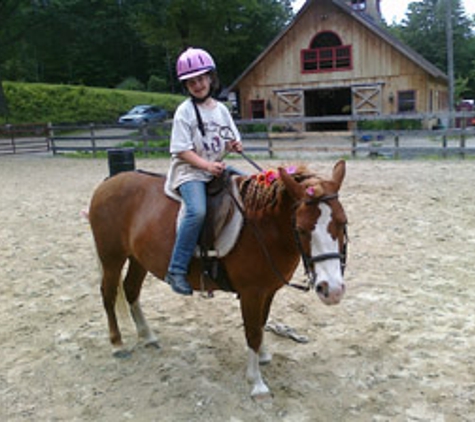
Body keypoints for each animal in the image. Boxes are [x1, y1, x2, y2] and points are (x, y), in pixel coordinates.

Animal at [89, 160, 348, 398]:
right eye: (302, 229)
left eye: (343, 222)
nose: (332, 290)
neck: (263, 226)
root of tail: (109, 182)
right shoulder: (252, 293)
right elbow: (253, 332)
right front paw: (256, 382)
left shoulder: (268, 291)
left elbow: (261, 325)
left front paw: (263, 356)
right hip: (111, 257)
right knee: (109, 294)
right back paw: (117, 344)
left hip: (138, 259)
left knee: (131, 290)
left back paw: (148, 335)